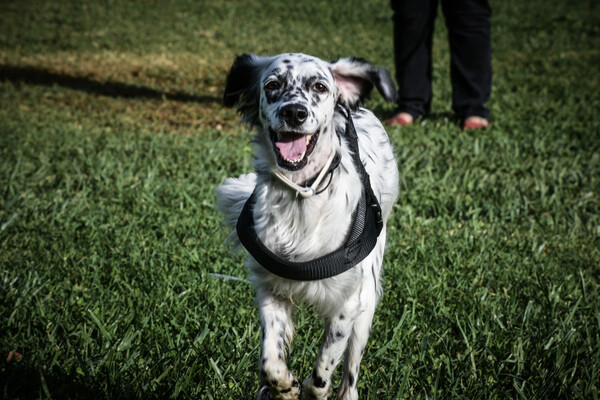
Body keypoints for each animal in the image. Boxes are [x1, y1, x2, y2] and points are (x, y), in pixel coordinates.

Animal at [216, 54, 398, 400]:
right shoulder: (271, 290)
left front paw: (311, 388)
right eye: (272, 84)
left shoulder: (348, 304)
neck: (301, 196)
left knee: (350, 375)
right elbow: (270, 363)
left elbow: (322, 375)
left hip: (367, 302)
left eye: (320, 86)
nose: (294, 112)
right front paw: (285, 387)